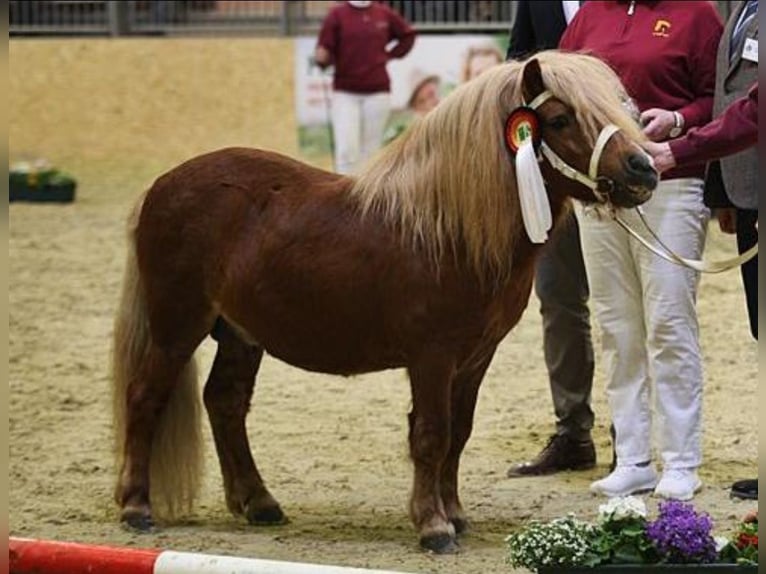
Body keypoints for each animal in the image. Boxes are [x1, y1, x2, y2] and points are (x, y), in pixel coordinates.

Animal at [111, 51, 657, 554]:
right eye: (562, 119)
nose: (645, 169)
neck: (448, 229)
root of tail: (161, 185)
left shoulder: (476, 357)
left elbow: (459, 433)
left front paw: (454, 514)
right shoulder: (431, 357)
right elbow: (432, 434)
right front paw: (433, 526)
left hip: (241, 334)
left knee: (225, 403)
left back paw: (259, 502)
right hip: (176, 326)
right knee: (145, 397)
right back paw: (137, 507)